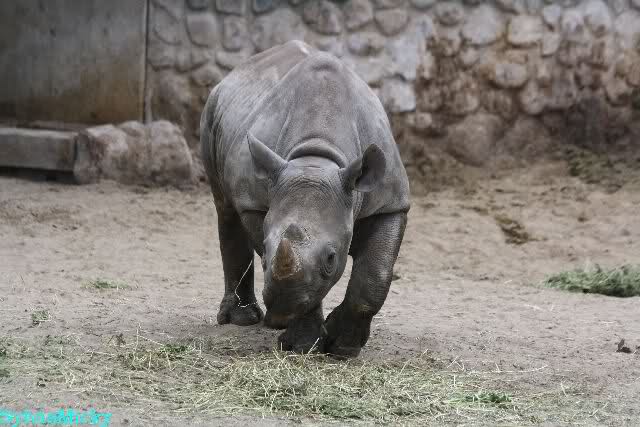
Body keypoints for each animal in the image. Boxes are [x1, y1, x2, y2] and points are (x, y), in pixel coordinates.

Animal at [200, 40, 410, 358]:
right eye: (265, 248)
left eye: (331, 258)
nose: (281, 311)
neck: (316, 158)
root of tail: (236, 72)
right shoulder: (255, 203)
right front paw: (302, 345)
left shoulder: (390, 203)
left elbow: (376, 275)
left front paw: (343, 347)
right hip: (213, 109)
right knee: (225, 207)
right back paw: (245, 320)